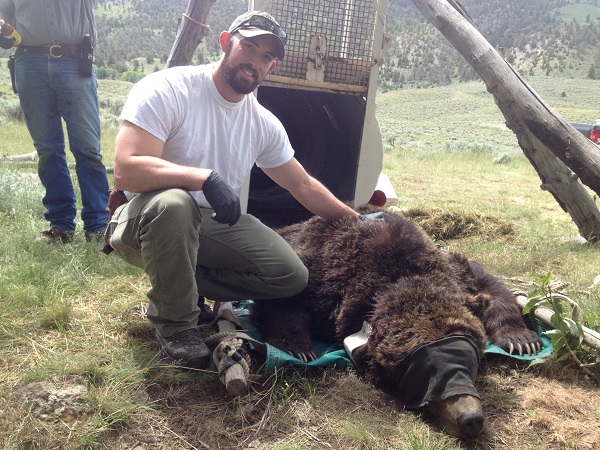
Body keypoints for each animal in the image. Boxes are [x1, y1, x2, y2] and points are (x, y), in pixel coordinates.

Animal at [251, 212, 540, 440]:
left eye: (469, 362)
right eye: (423, 376)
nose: (471, 418)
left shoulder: (454, 272)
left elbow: (487, 282)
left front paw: (521, 341)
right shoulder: (325, 274)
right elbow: (287, 289)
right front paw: (299, 347)